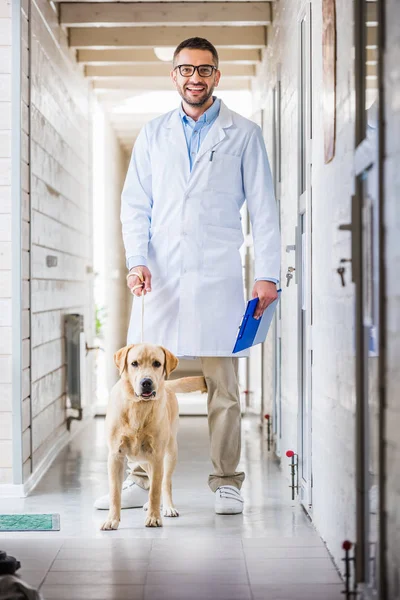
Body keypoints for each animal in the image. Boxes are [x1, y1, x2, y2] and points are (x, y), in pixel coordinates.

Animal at [101, 342, 206, 528]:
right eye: (134, 363)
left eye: (157, 363)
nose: (147, 382)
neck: (137, 407)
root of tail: (167, 385)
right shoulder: (115, 456)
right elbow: (115, 492)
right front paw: (112, 520)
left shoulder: (157, 456)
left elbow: (156, 491)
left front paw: (154, 517)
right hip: (142, 460)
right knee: (151, 478)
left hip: (169, 453)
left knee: (165, 483)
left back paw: (168, 507)